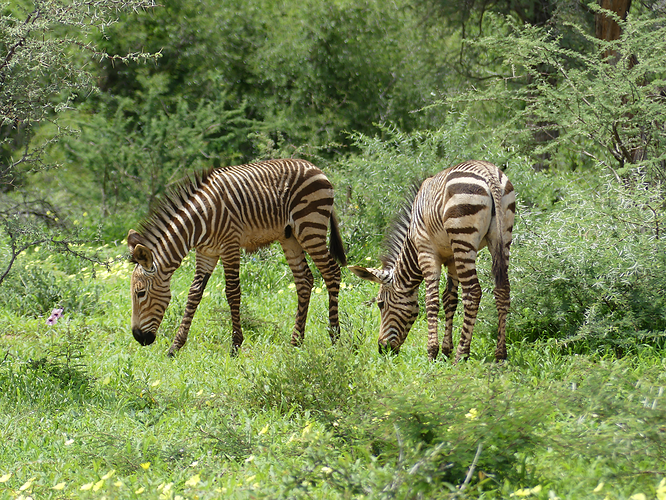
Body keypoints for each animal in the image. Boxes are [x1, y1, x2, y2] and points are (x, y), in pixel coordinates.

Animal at [128, 158, 348, 358]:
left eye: (140, 293)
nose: (139, 338)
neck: (199, 221)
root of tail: (314, 167)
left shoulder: (230, 246)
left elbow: (232, 292)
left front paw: (235, 345)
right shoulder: (206, 253)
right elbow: (194, 294)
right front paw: (175, 347)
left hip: (310, 226)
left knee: (332, 272)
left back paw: (335, 337)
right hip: (289, 236)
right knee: (304, 279)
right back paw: (296, 342)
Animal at [348, 162, 512, 362]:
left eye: (380, 304)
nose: (382, 349)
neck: (412, 240)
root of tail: (489, 173)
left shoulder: (426, 253)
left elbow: (431, 300)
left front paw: (433, 352)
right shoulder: (451, 258)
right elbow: (449, 299)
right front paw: (446, 350)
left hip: (463, 236)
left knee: (473, 292)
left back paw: (462, 354)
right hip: (502, 236)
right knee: (502, 290)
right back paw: (500, 355)